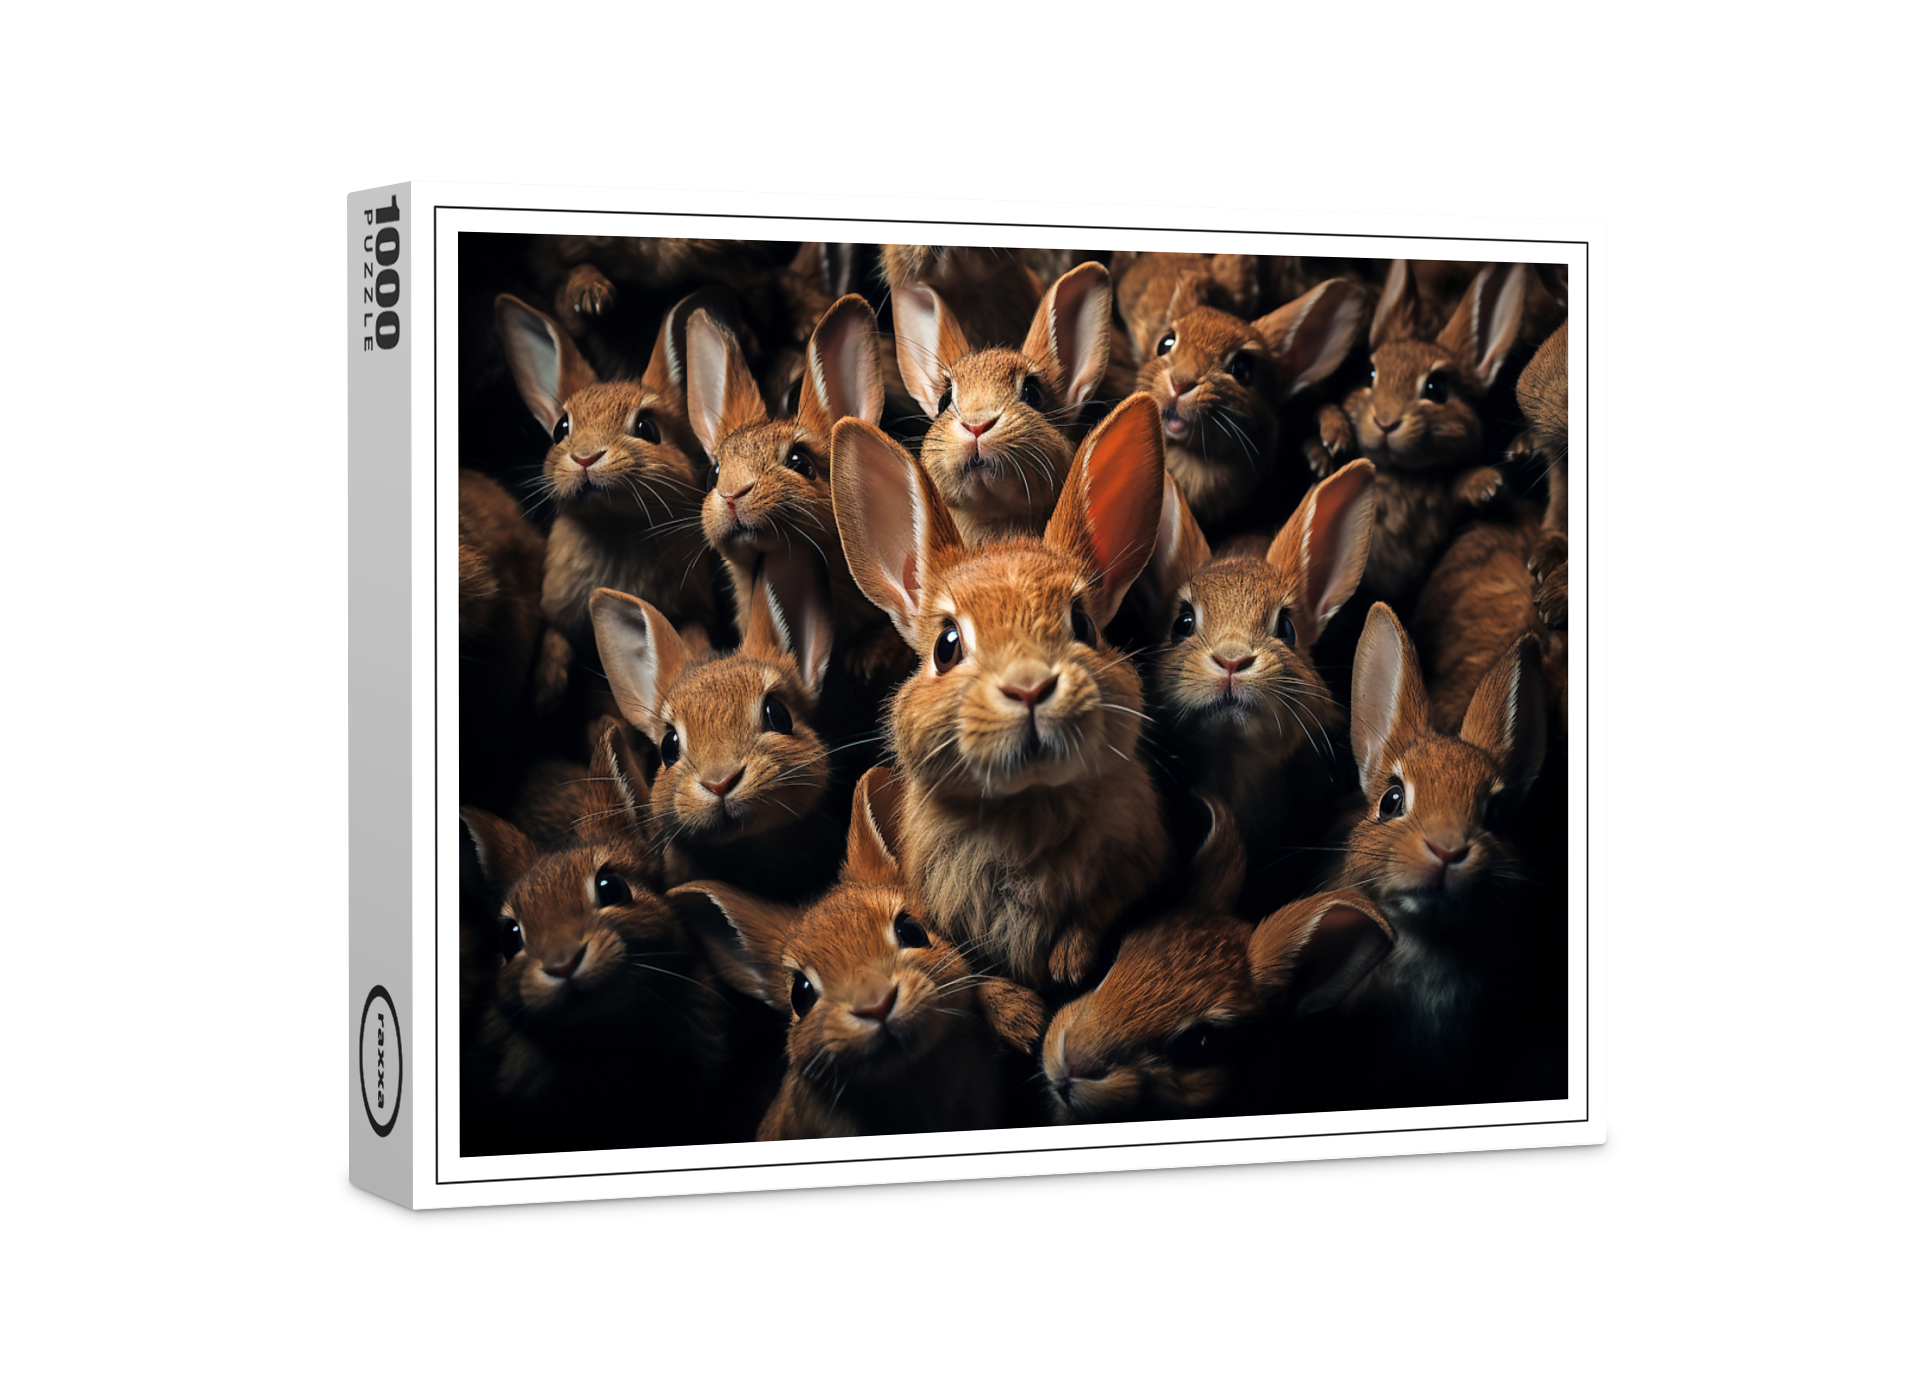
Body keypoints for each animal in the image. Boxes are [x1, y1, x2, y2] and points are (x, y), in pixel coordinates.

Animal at [494, 285, 727, 659]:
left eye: (648, 429)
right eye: (560, 428)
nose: (586, 458)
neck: (614, 524)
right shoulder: (558, 620)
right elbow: (554, 650)